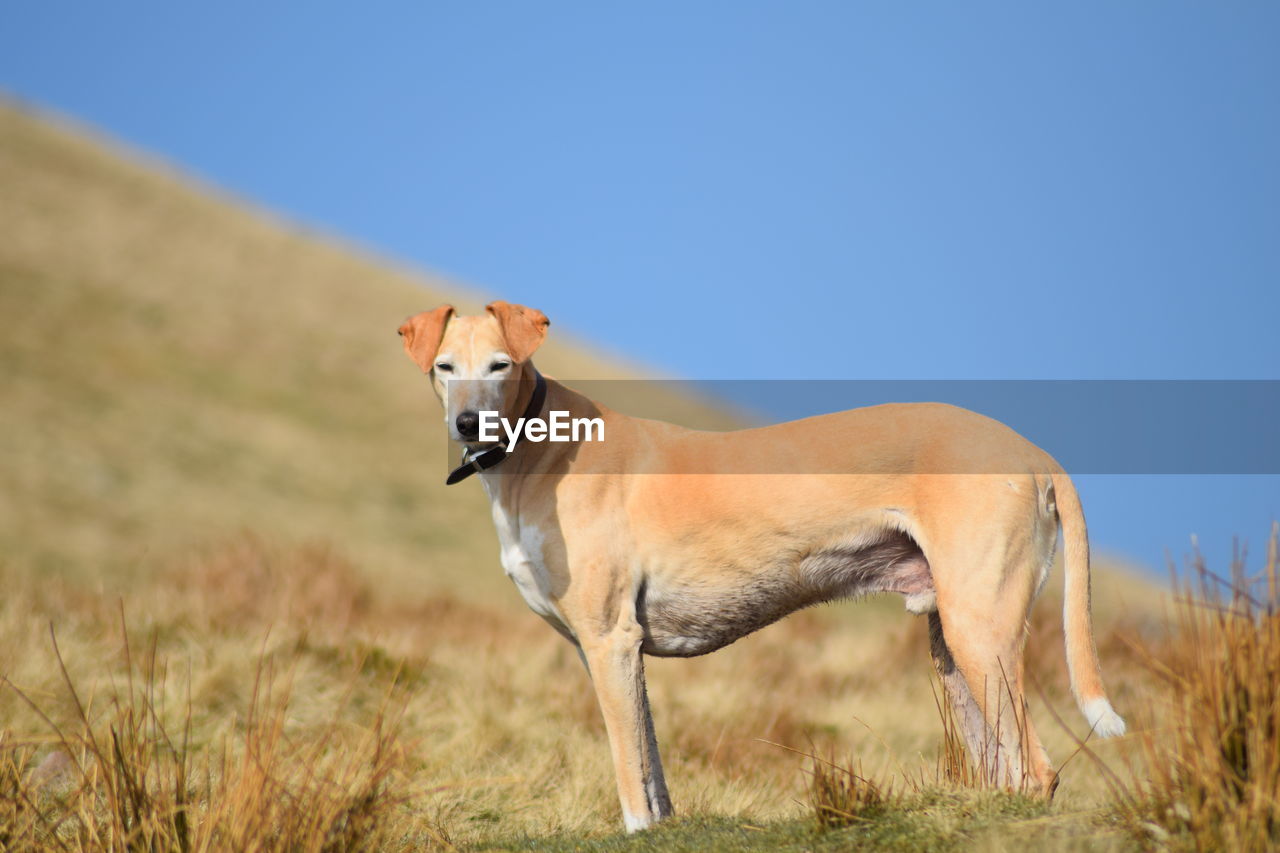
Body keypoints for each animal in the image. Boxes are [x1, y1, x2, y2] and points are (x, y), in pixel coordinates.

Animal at [396, 300, 1121, 829]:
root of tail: (1031, 450)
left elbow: (631, 782)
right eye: (444, 366)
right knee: (1009, 770)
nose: (467, 424)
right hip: (955, 648)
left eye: (499, 364)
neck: (537, 450)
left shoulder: (609, 642)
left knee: (1038, 771)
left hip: (980, 630)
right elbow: (653, 773)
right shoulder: (615, 654)